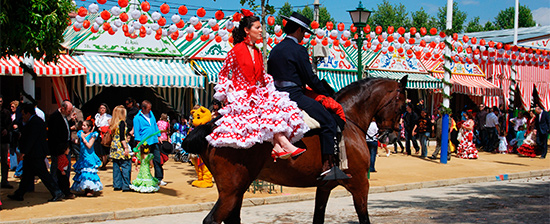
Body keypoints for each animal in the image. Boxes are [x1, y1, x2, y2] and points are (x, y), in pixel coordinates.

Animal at [185, 76, 410, 223]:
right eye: (401, 107)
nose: (392, 137)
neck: (349, 120)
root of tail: (211, 126)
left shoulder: (325, 187)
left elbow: (318, 217)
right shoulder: (360, 184)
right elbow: (364, 218)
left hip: (236, 190)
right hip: (232, 191)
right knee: (212, 220)